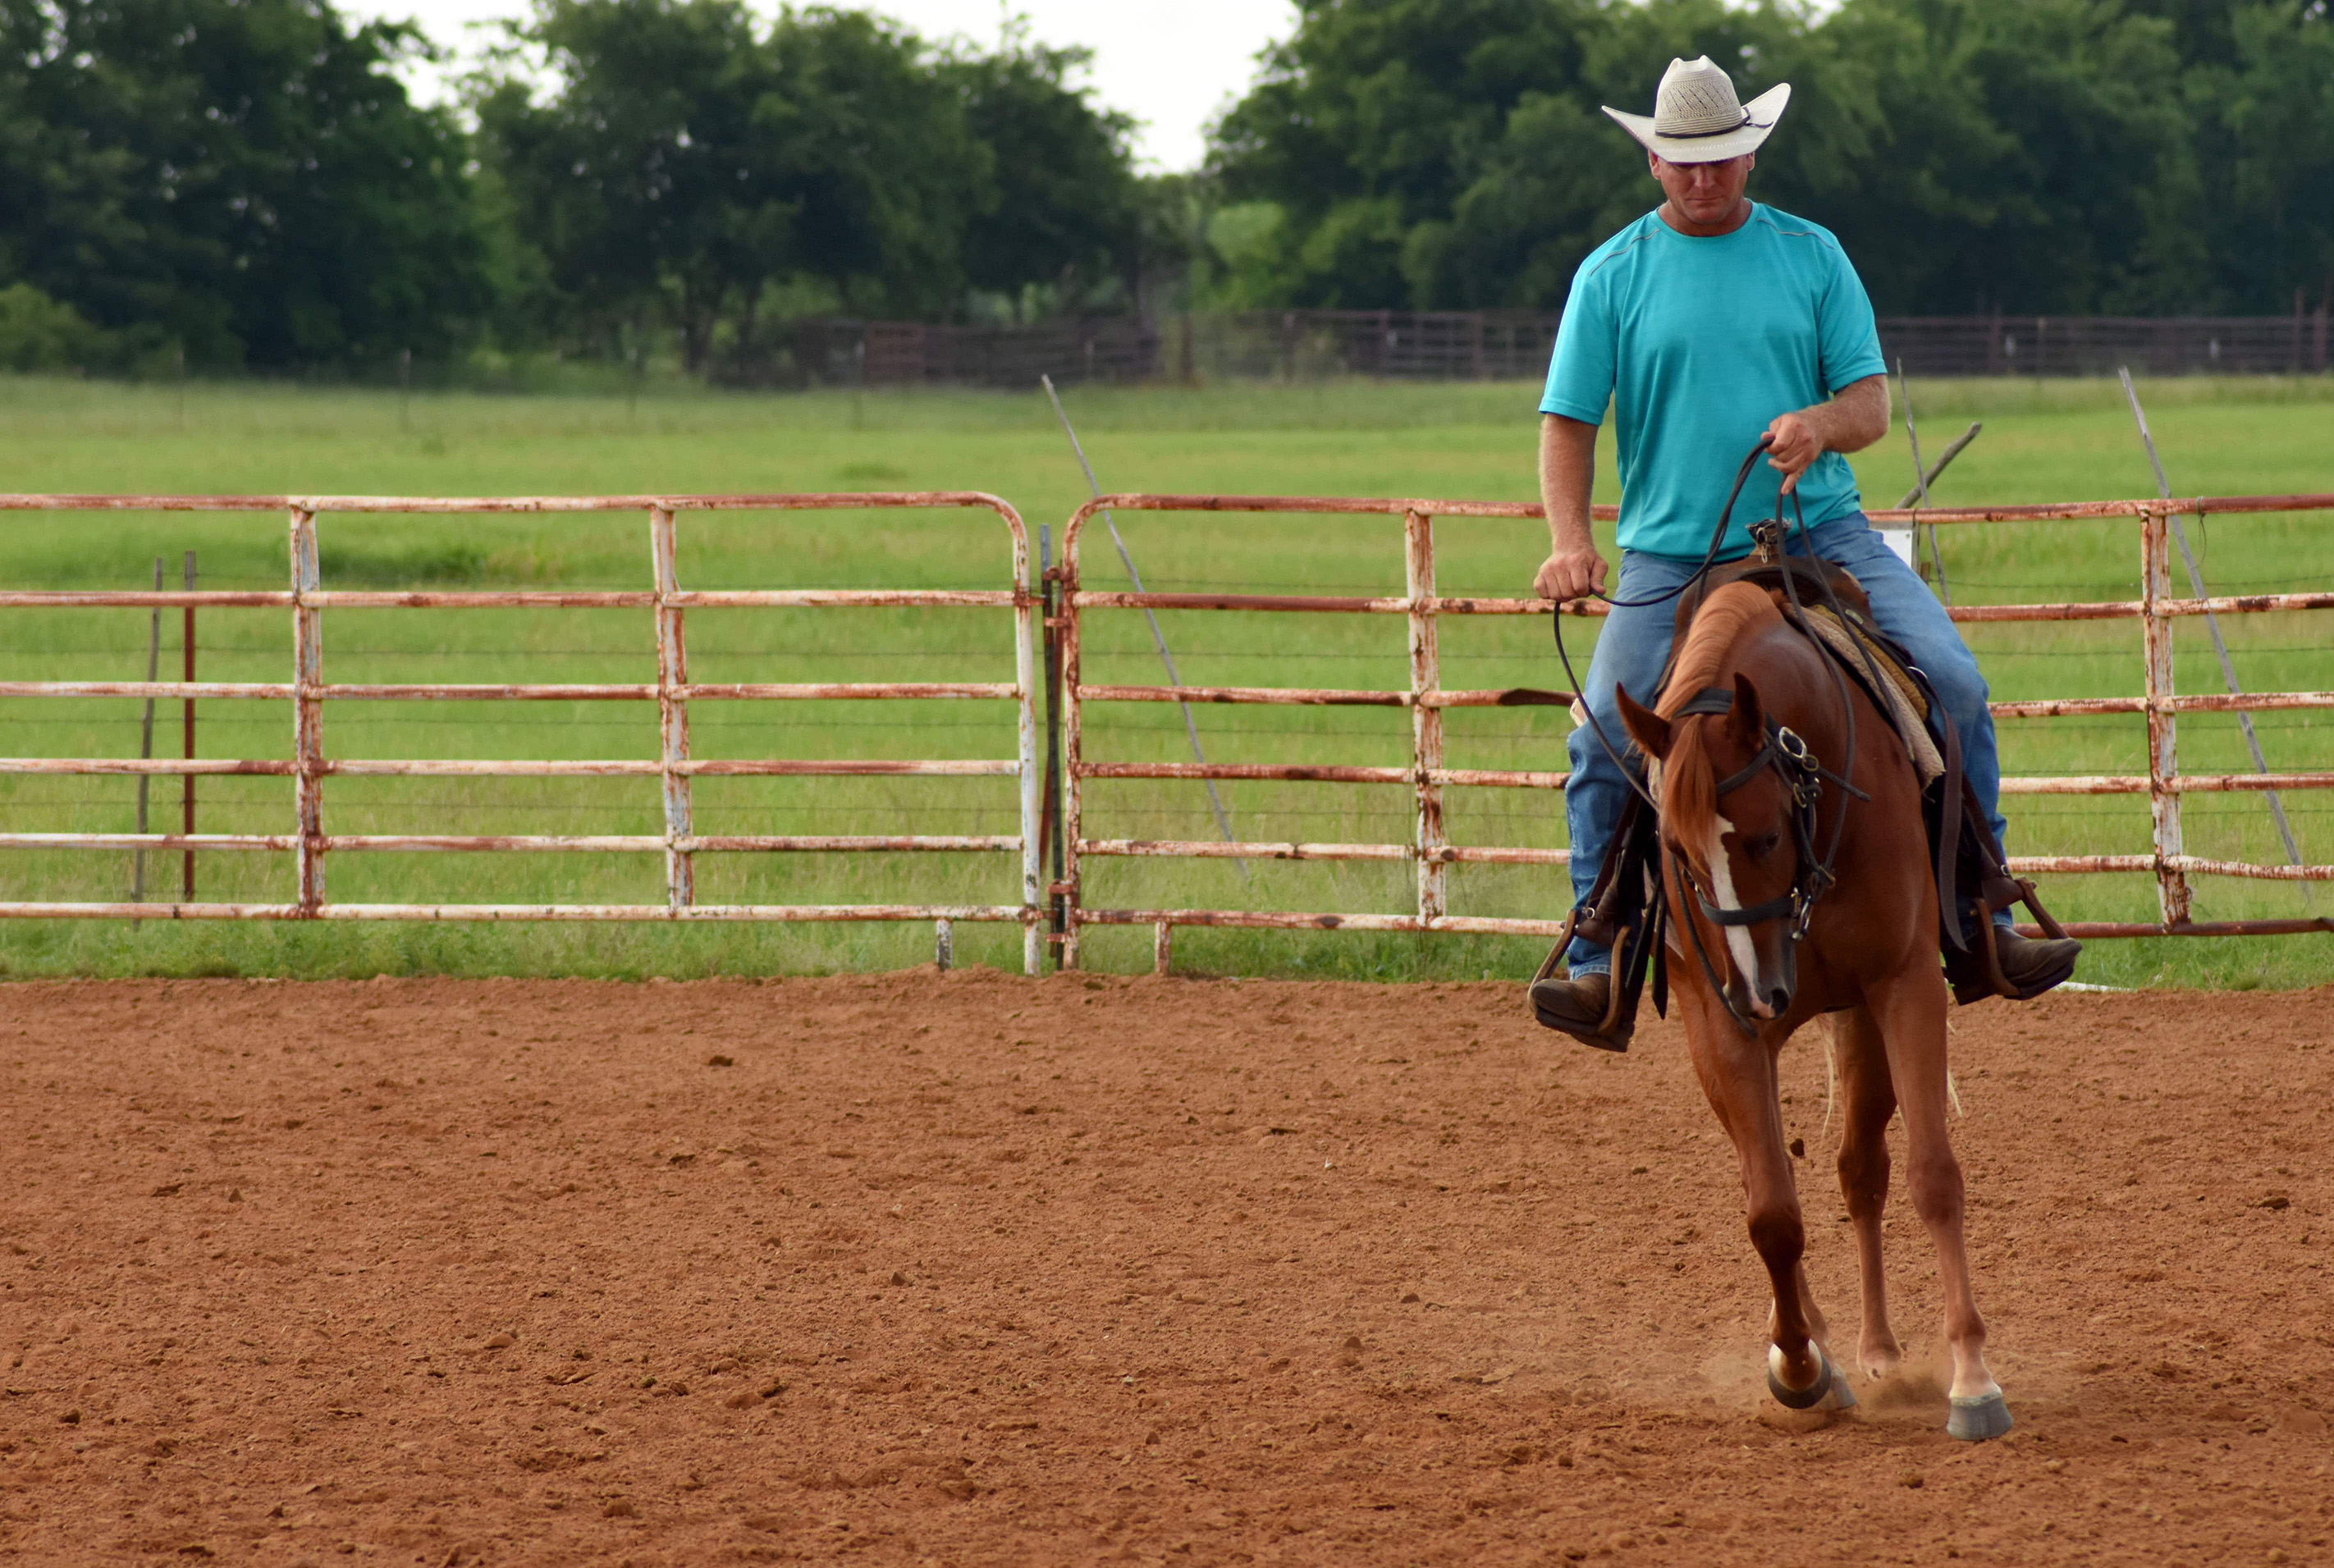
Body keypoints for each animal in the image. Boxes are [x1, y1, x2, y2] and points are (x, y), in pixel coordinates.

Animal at [1615, 578, 2016, 1447]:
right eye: (1677, 851)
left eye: (1764, 836)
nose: (1758, 991)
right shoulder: (1720, 1025)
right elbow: (1771, 1212)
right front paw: (1799, 1365)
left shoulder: (1904, 985)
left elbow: (1934, 1175)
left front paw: (1972, 1378)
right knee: (1781, 1176)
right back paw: (1824, 1345)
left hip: (1860, 1019)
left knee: (1861, 1170)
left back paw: (1879, 1349)